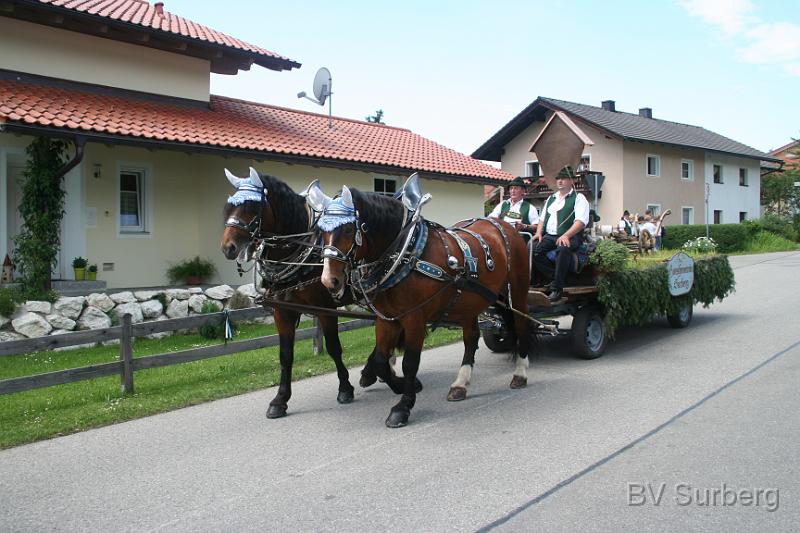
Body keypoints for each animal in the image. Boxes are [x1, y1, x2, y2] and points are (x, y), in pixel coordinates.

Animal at [222, 168, 416, 418]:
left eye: (251, 206)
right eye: (229, 206)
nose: (228, 247)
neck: (301, 253)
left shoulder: (325, 309)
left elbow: (333, 347)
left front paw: (345, 388)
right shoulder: (282, 311)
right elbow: (285, 355)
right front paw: (280, 399)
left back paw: (372, 371)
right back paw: (374, 370)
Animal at [310, 185, 532, 426]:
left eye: (349, 229)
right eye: (321, 231)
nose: (329, 281)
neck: (405, 254)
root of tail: (501, 224)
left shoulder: (414, 317)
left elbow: (409, 363)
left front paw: (403, 407)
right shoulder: (386, 318)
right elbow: (380, 359)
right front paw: (400, 385)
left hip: (517, 290)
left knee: (522, 325)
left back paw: (520, 373)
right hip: (470, 300)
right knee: (471, 337)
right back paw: (460, 384)